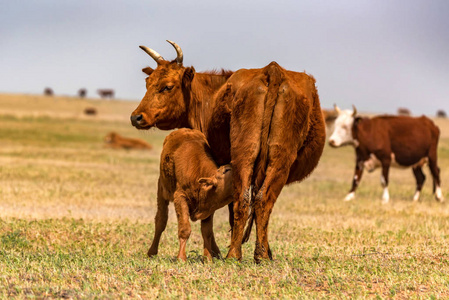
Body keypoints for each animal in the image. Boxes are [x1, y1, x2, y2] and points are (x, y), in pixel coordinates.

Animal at [149, 127, 233, 262]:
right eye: (226, 170)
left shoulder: (209, 207)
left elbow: (207, 232)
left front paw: (208, 258)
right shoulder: (180, 197)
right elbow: (185, 229)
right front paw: (181, 258)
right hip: (161, 189)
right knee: (160, 221)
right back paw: (151, 252)